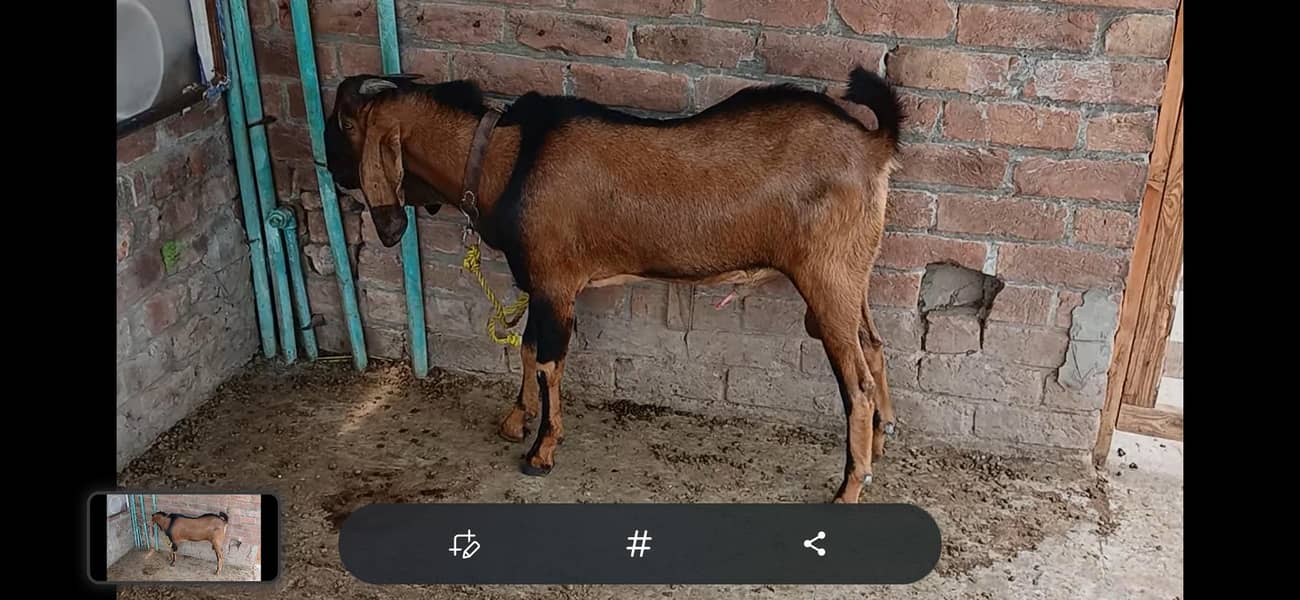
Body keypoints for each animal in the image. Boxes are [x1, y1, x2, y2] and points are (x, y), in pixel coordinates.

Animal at [323, 66, 905, 504]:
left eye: (344, 123)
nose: (329, 171)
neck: (504, 159)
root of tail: (875, 144)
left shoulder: (556, 282)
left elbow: (548, 363)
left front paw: (540, 453)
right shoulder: (539, 283)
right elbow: (526, 349)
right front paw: (515, 421)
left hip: (826, 278)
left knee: (856, 384)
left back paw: (850, 488)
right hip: (852, 275)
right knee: (875, 347)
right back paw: (880, 445)